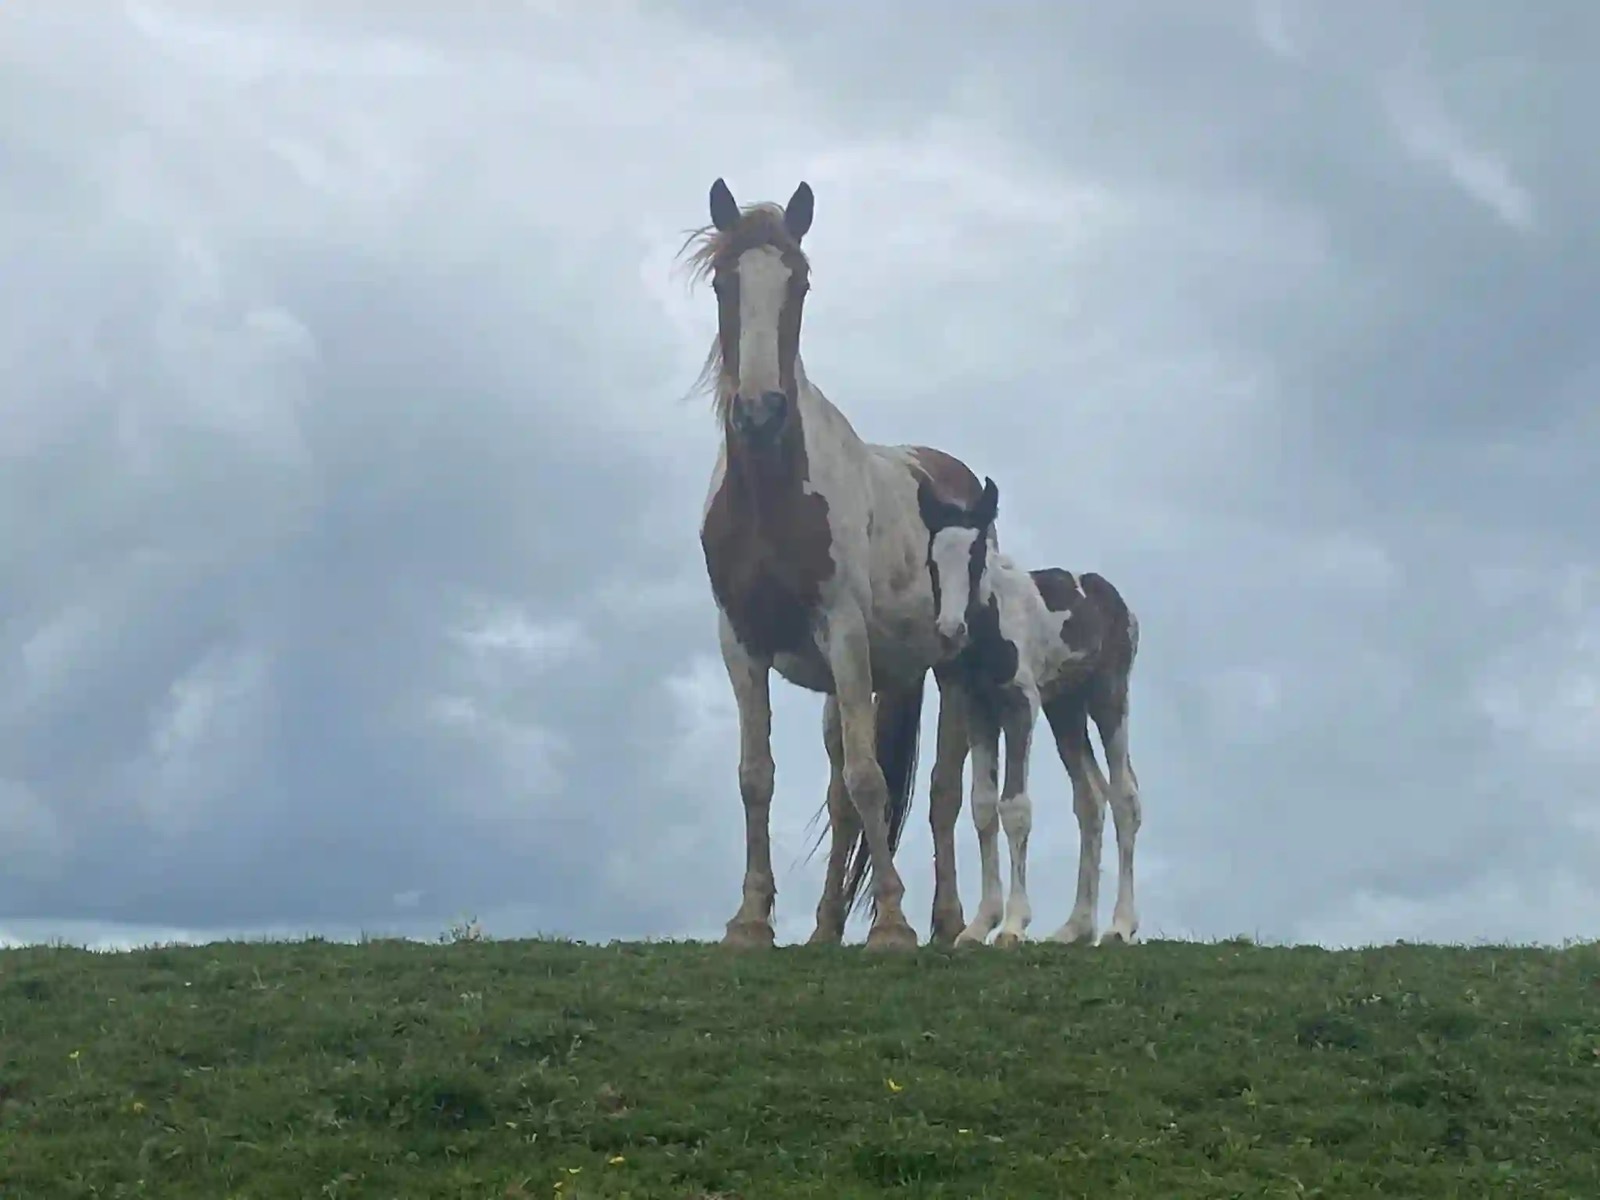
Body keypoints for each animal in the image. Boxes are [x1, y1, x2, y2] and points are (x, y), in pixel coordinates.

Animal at [685, 177, 992, 951]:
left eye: (800, 282)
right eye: (723, 283)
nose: (759, 410)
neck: (771, 498)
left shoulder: (845, 634)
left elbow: (868, 779)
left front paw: (892, 923)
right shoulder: (740, 643)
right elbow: (758, 776)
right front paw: (750, 920)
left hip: (946, 671)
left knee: (942, 794)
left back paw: (946, 922)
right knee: (843, 794)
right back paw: (825, 928)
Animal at [916, 476, 1143, 948]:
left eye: (976, 558)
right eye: (932, 560)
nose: (950, 630)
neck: (988, 631)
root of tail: (1118, 602)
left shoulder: (1022, 705)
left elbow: (1015, 807)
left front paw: (1013, 923)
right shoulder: (979, 710)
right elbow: (983, 806)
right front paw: (979, 924)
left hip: (1108, 696)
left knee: (1125, 796)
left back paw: (1119, 924)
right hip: (1066, 710)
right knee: (1090, 799)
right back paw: (1076, 927)